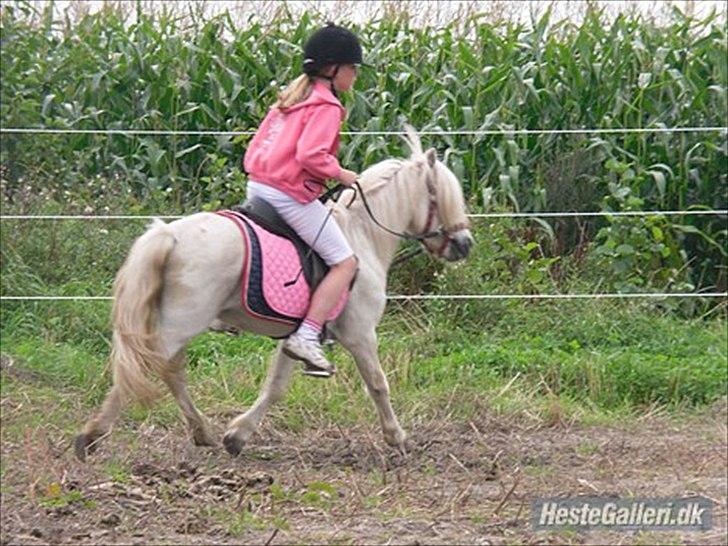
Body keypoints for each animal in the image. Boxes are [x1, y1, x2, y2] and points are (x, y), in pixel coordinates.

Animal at [74, 125, 472, 456]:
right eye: (444, 197)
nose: (465, 244)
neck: (363, 234)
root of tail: (169, 234)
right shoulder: (360, 333)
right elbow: (377, 383)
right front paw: (396, 437)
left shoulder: (296, 336)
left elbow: (276, 386)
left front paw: (237, 436)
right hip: (182, 321)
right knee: (153, 366)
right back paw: (92, 435)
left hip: (176, 320)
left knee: (170, 370)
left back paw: (201, 432)